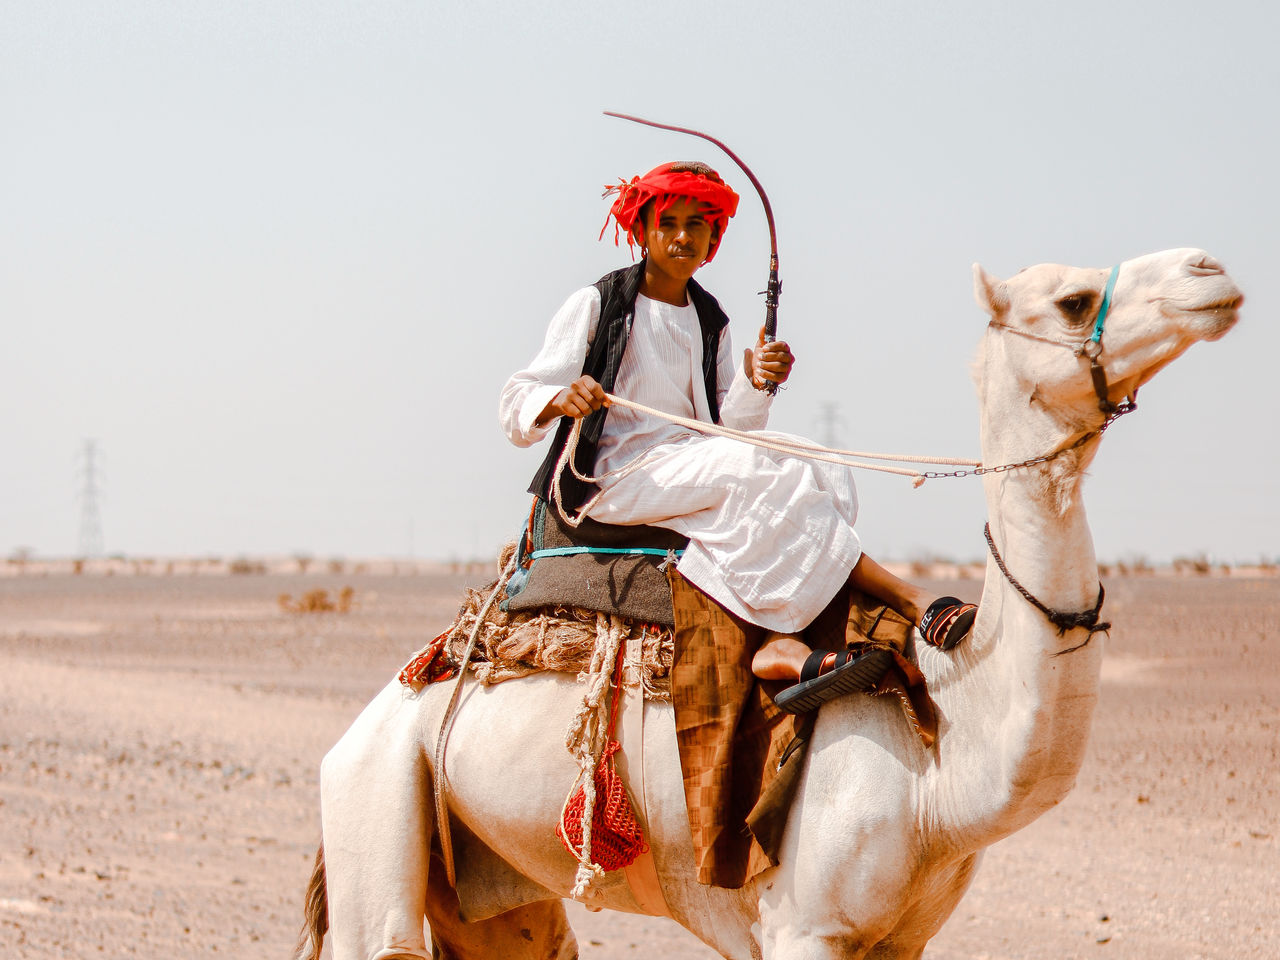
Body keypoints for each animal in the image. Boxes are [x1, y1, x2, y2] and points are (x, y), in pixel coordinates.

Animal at [299, 249, 1239, 960]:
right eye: (1074, 300)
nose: (1212, 270)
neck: (945, 749)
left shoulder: (903, 939)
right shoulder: (802, 925)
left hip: (494, 886)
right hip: (377, 792)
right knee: (382, 935)